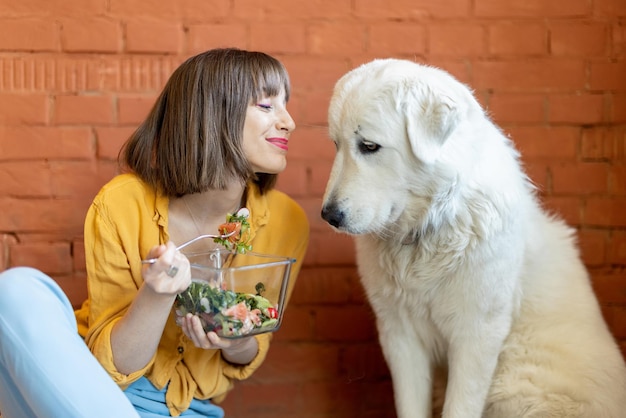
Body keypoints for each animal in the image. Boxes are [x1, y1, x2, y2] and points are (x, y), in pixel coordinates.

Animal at [320, 59, 624, 418]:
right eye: (336, 145)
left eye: (369, 146)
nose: (329, 216)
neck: (430, 227)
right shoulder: (400, 335)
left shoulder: (476, 335)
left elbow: (460, 407)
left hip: (513, 382)